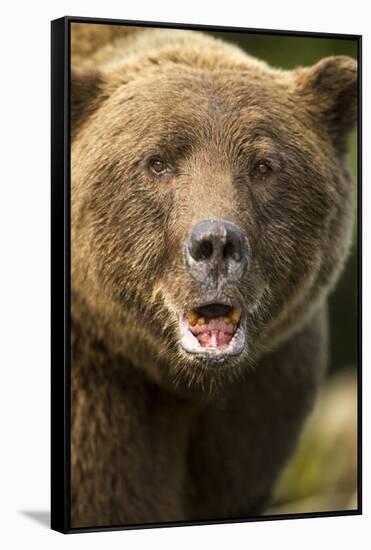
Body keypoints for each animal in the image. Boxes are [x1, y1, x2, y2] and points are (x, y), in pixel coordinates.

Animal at [70, 22, 358, 532]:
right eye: (157, 161)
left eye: (263, 165)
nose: (217, 243)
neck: (186, 383)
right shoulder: (98, 393)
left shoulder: (263, 395)